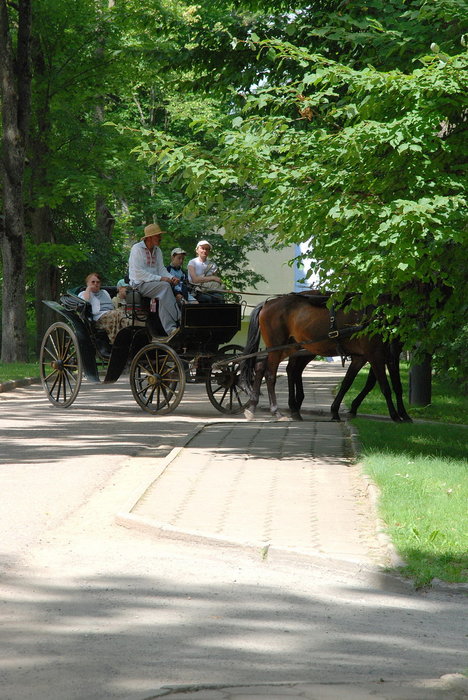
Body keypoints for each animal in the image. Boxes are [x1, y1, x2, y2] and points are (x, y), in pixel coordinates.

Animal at [239, 294, 412, 424]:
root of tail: (268, 303)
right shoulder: (376, 355)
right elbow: (385, 387)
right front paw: (395, 415)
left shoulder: (376, 357)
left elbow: (351, 382)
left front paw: (404, 414)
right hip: (278, 347)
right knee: (271, 375)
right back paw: (276, 411)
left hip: (289, 347)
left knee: (263, 366)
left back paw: (253, 407)